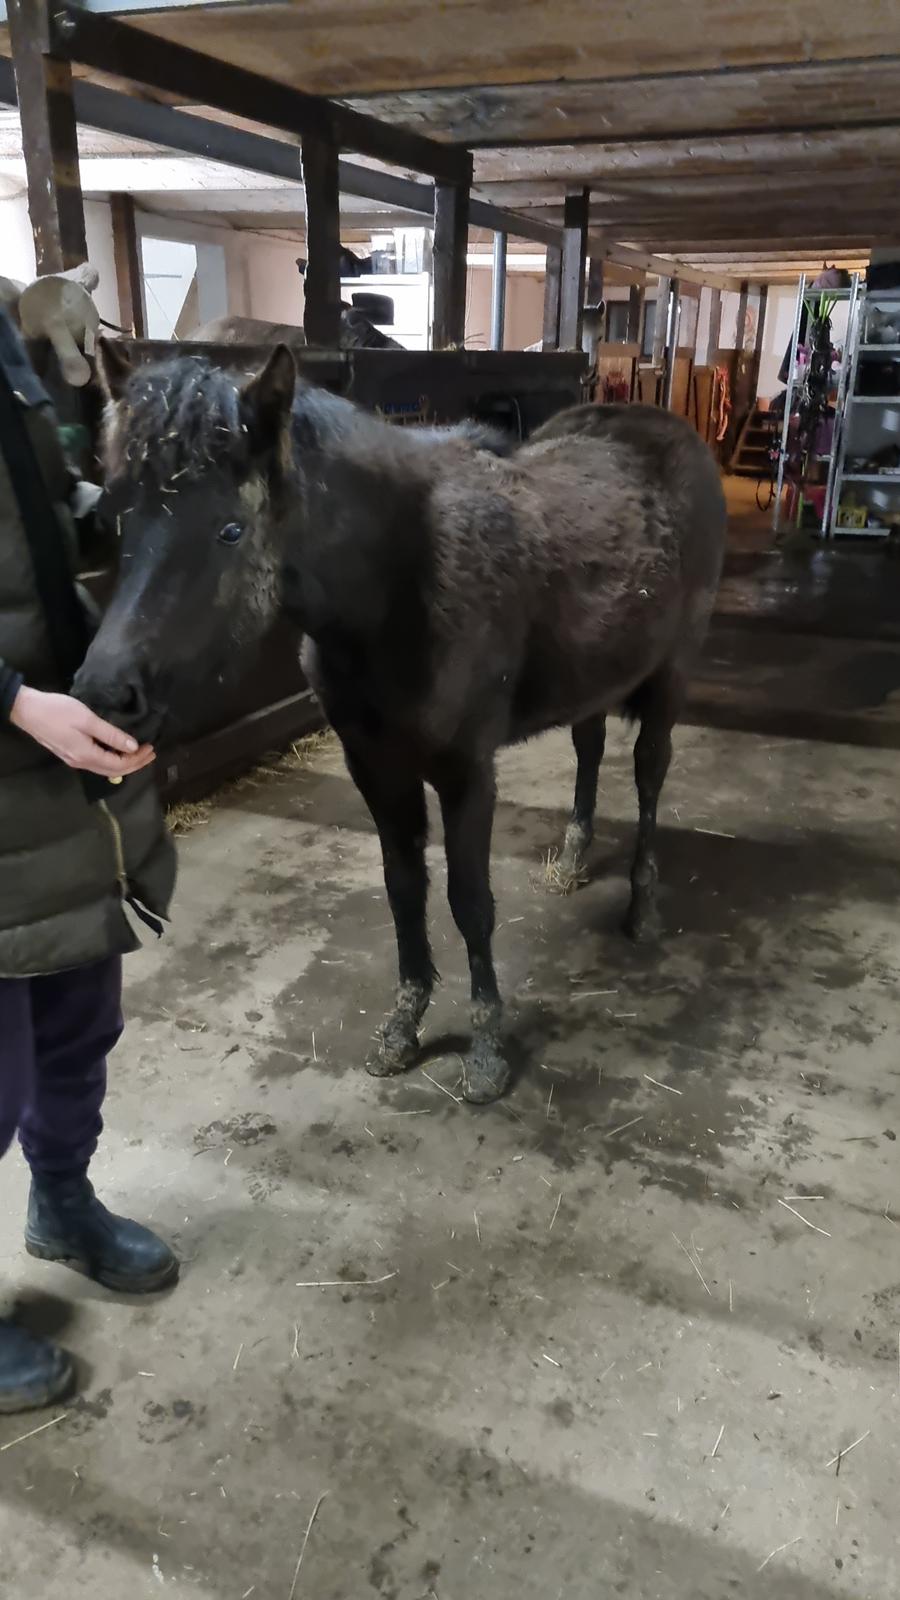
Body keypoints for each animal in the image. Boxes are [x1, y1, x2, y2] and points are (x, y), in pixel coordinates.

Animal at [75, 343, 727, 1104]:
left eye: (231, 529)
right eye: (116, 516)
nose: (104, 695)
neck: (401, 582)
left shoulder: (466, 771)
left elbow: (470, 902)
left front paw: (485, 1052)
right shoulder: (375, 766)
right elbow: (403, 889)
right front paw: (403, 1027)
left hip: (671, 676)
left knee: (650, 773)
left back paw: (642, 911)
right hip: (595, 678)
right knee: (590, 749)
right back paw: (571, 859)